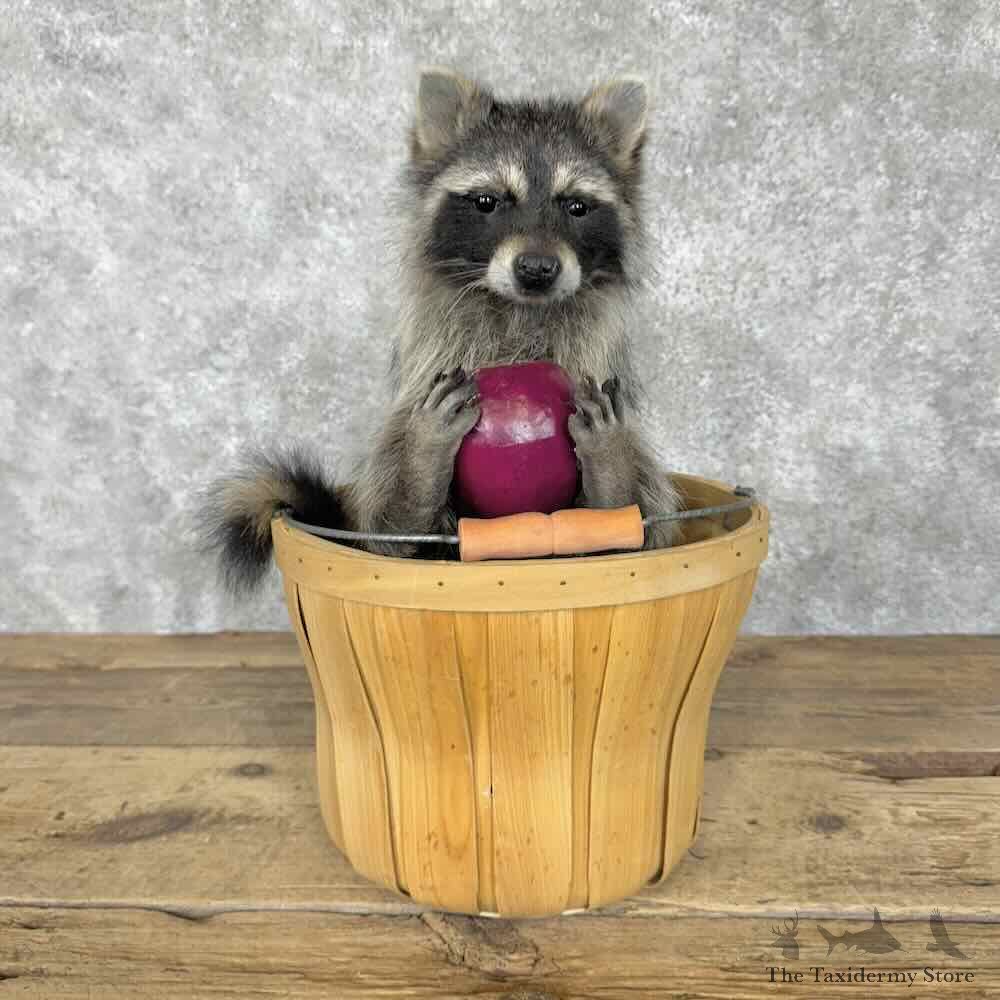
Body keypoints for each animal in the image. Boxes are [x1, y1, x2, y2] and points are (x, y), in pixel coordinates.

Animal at [201, 68, 681, 594]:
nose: (536, 269)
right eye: (488, 201)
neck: (518, 313)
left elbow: (630, 530)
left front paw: (608, 469)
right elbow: (392, 535)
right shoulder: (416, 395)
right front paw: (422, 468)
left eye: (576, 206)